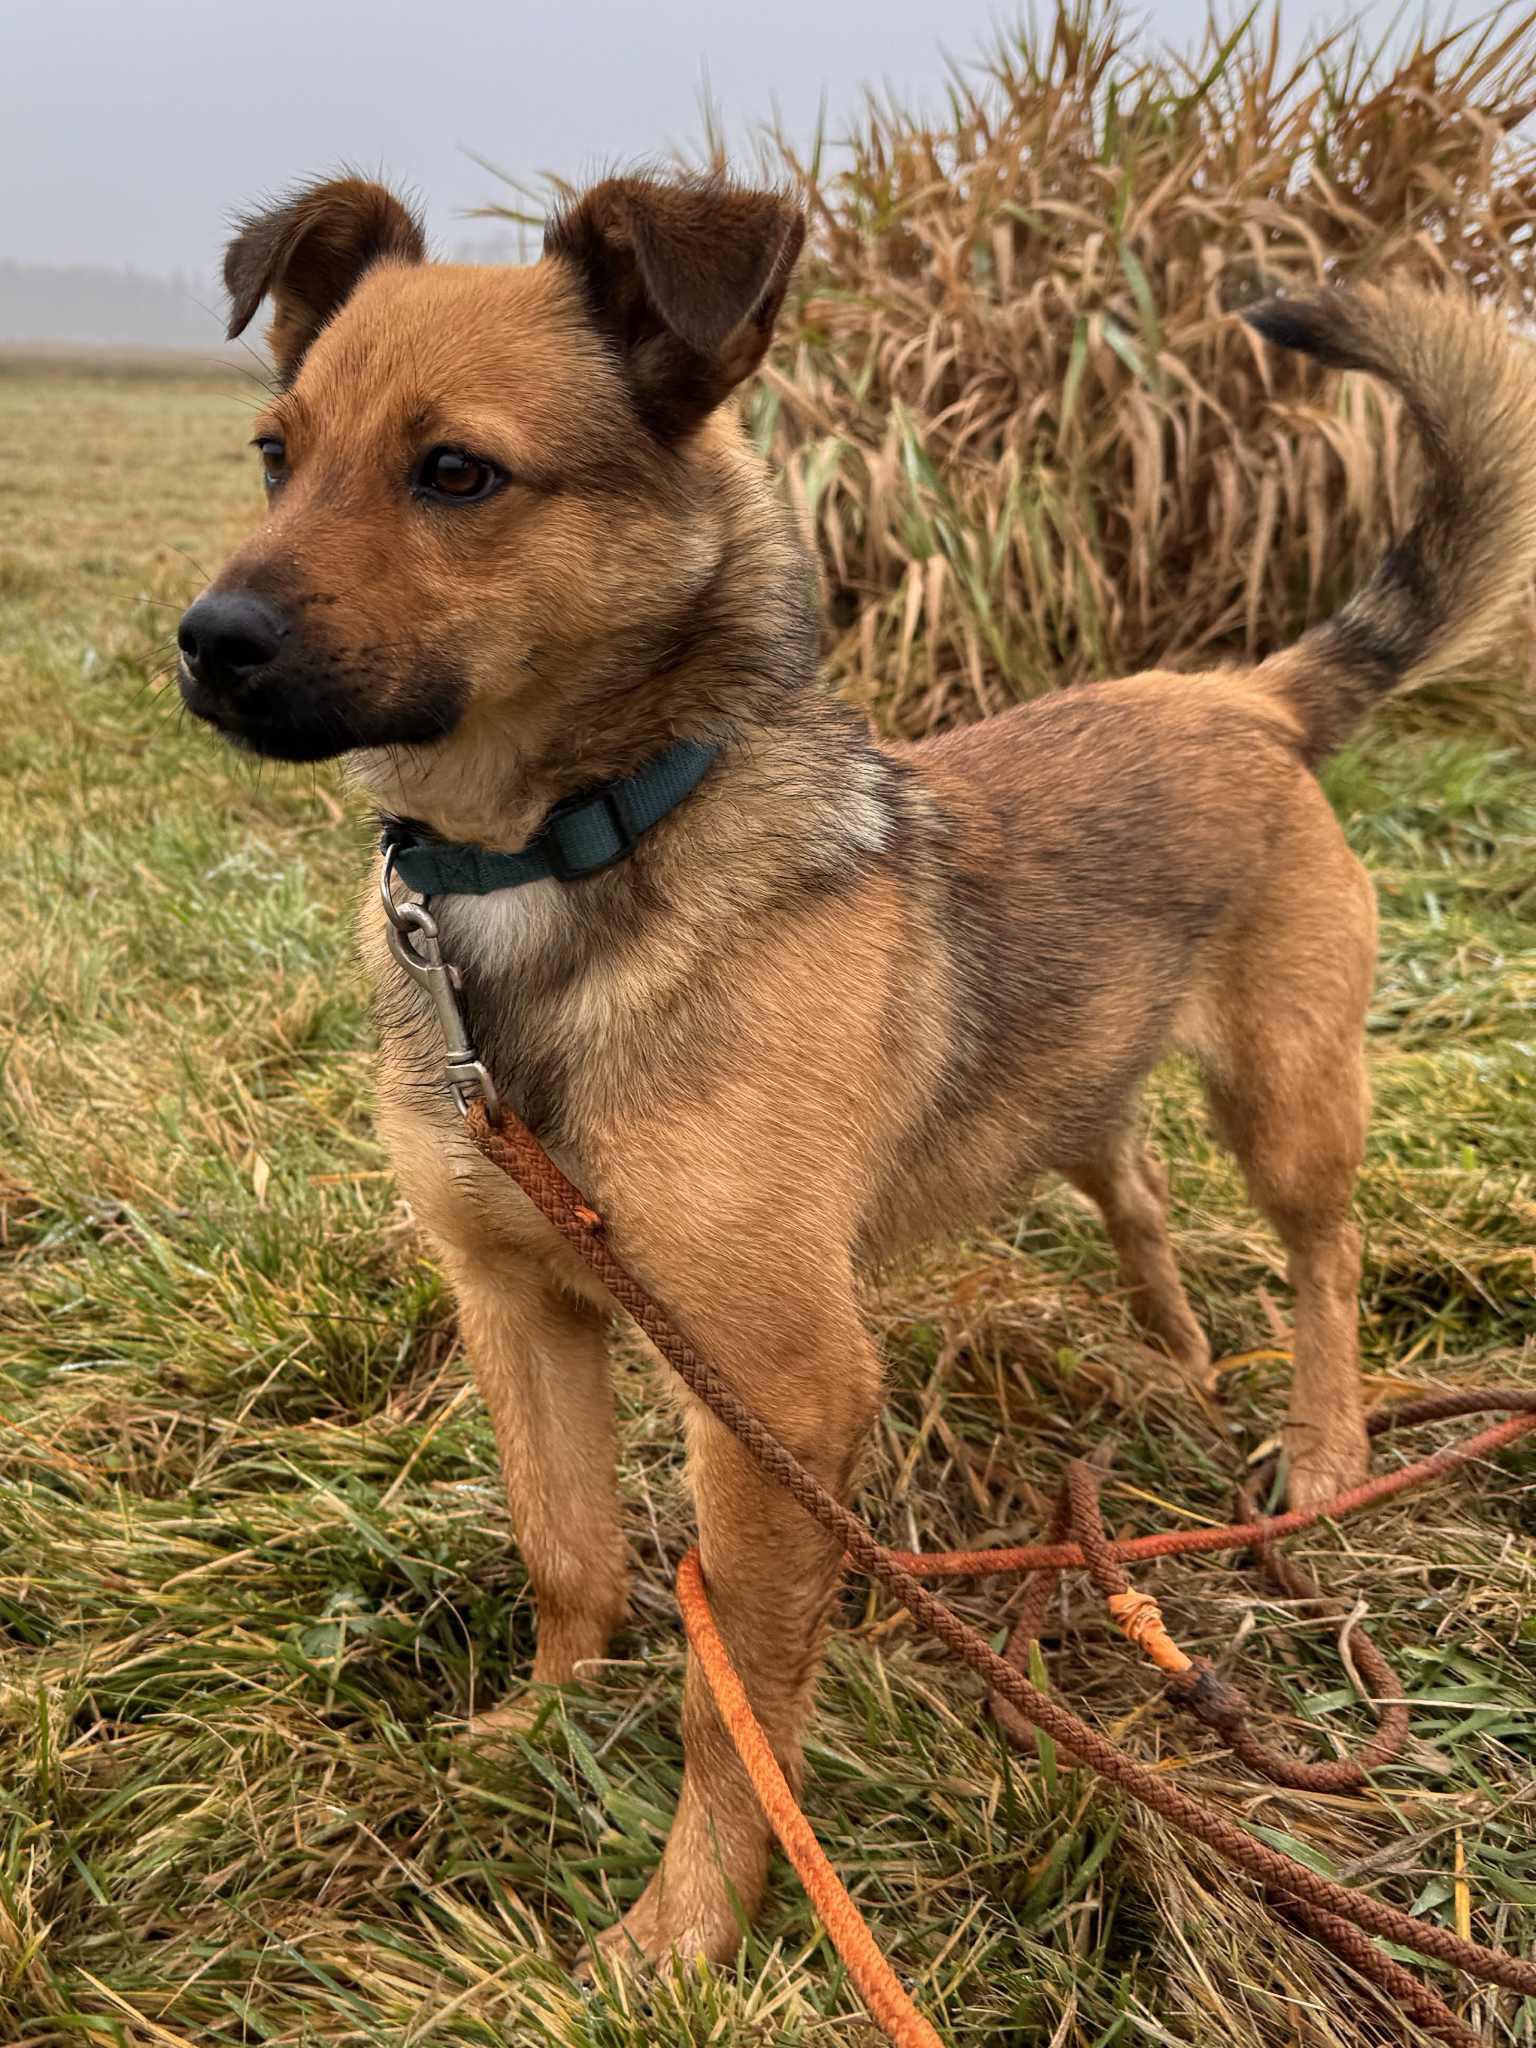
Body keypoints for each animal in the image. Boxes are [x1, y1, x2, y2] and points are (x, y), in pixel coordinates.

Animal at [177, 170, 1536, 1970]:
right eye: (275, 454)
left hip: (1284, 1093)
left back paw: (1322, 1451)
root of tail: (1243, 692)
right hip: (1068, 1083)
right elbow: (568, 1550)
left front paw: (687, 1925)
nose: (205, 643)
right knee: (1137, 1190)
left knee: (1325, 1254)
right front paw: (537, 1728)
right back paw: (1177, 1360)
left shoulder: (776, 1390)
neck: (550, 867)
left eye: (455, 473)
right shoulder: (516, 1298)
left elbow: (732, 1696)